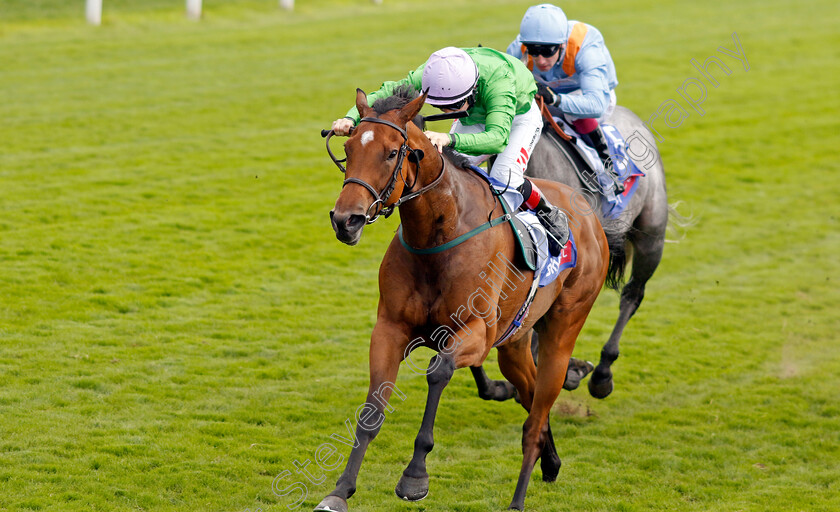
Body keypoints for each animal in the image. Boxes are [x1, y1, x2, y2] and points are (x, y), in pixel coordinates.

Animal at [316, 86, 612, 510]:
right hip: (514, 341)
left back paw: (520, 495)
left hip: (564, 326)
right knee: (530, 395)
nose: (346, 221)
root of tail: (586, 209)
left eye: (391, 153)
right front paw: (340, 491)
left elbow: (438, 370)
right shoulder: (389, 329)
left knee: (536, 414)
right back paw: (551, 461)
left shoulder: (477, 333)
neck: (437, 235)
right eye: (349, 148)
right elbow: (372, 408)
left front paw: (414, 477)